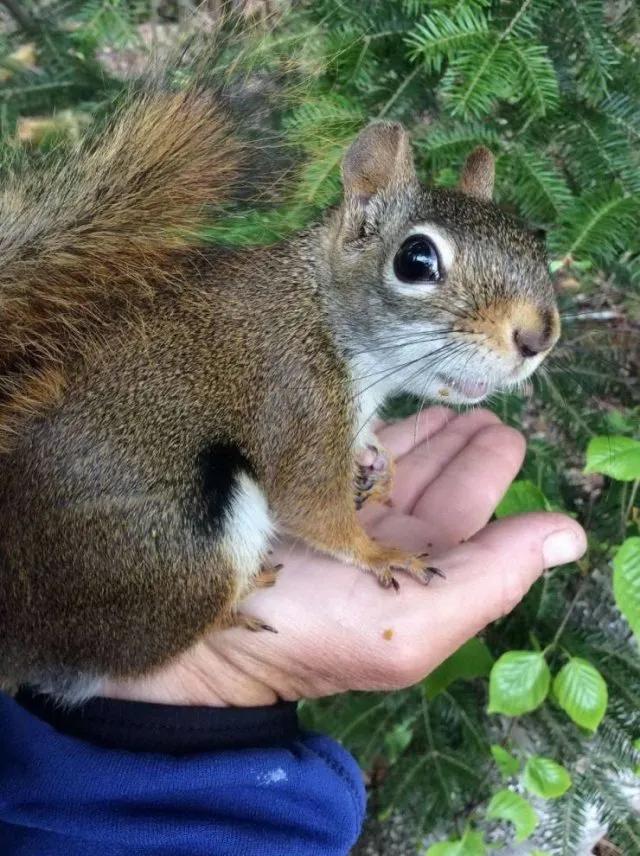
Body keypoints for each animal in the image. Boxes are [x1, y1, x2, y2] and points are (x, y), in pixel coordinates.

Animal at [0, 48, 560, 704]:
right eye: (416, 260)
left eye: (536, 238)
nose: (538, 338)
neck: (323, 312)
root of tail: (21, 635)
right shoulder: (295, 398)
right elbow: (310, 505)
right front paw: (377, 551)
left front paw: (376, 463)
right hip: (172, 545)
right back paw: (234, 604)